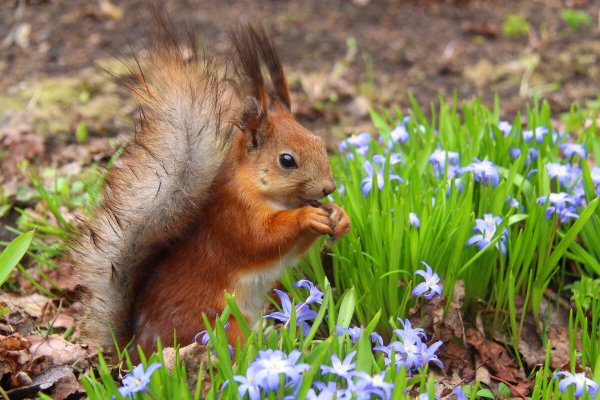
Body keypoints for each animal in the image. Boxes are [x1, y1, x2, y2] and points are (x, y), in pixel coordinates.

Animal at [69, 16, 352, 356]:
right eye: (287, 160)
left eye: (319, 142)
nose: (328, 187)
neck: (270, 196)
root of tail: (137, 350)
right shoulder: (234, 217)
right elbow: (264, 239)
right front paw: (307, 217)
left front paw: (339, 215)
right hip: (218, 325)